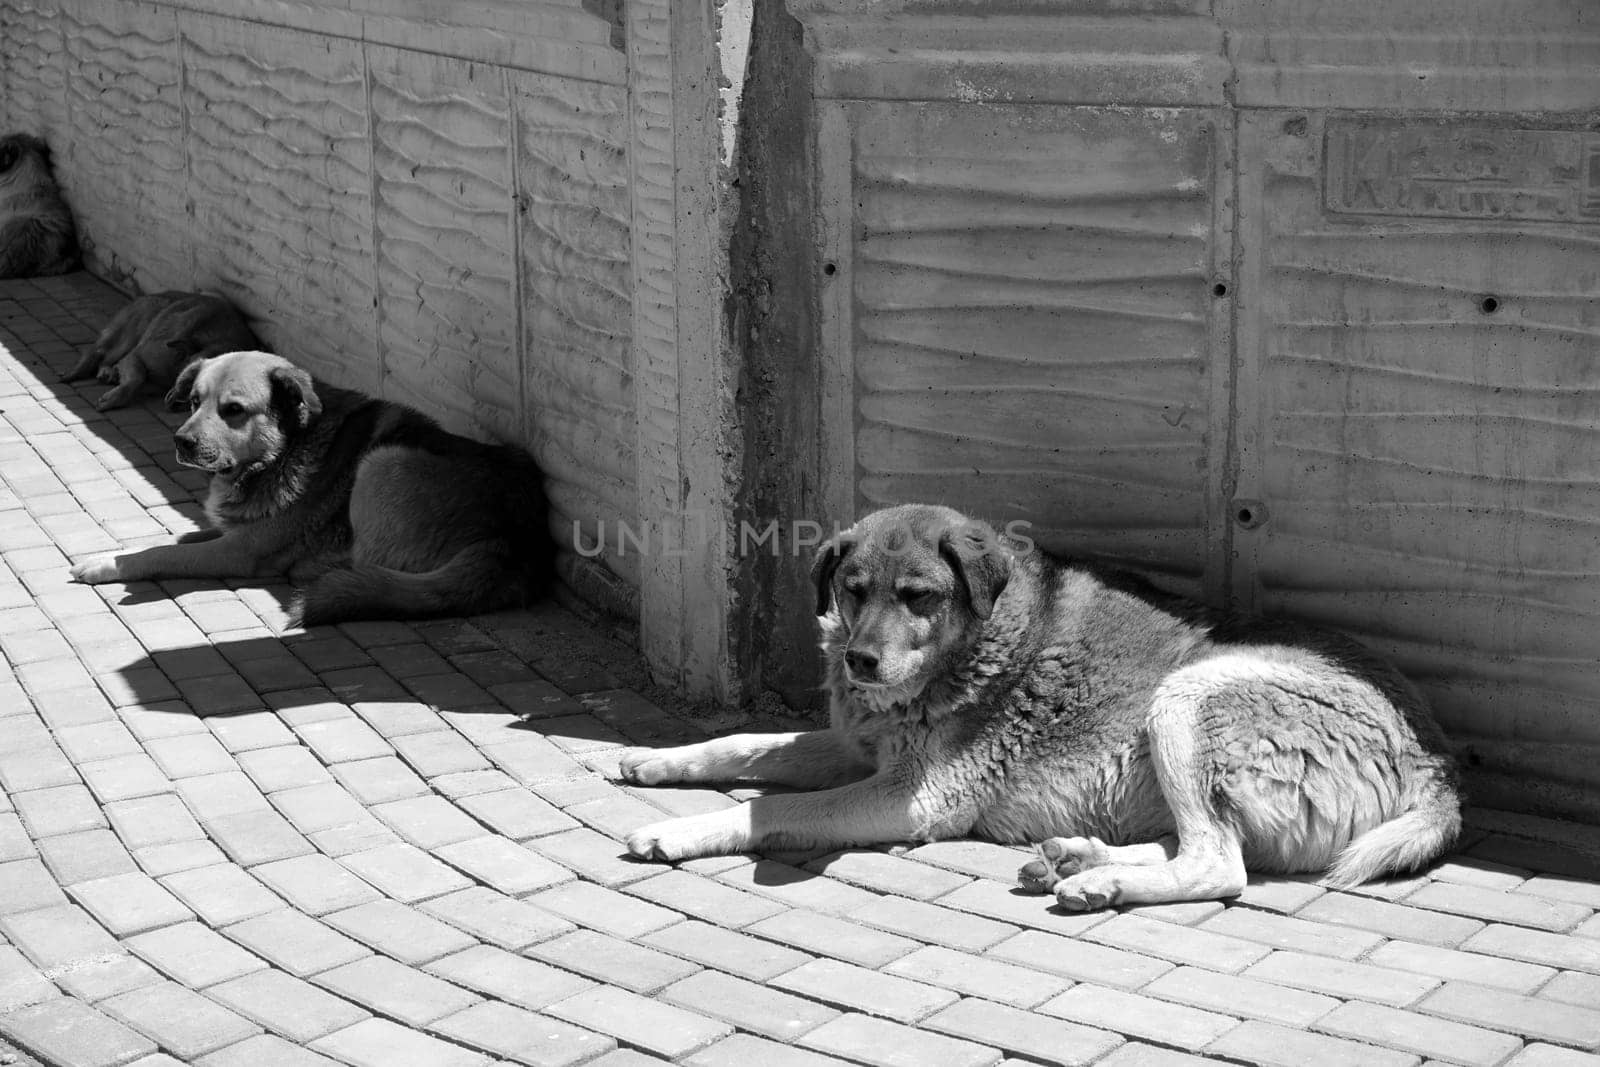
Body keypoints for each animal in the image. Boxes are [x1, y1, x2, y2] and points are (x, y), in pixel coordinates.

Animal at [64, 289, 259, 412]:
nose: (180, 402)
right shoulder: (136, 356)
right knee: (99, 352)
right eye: (192, 374)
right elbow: (136, 379)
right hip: (129, 335)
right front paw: (114, 397)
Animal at [68, 347, 553, 630]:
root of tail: (517, 541)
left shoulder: (237, 552)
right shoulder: (232, 531)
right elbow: (173, 538)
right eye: (193, 402)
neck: (281, 450)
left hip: (381, 462)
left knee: (366, 568)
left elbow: (162, 554)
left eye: (234, 410)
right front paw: (109, 553)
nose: (181, 442)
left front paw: (110, 565)